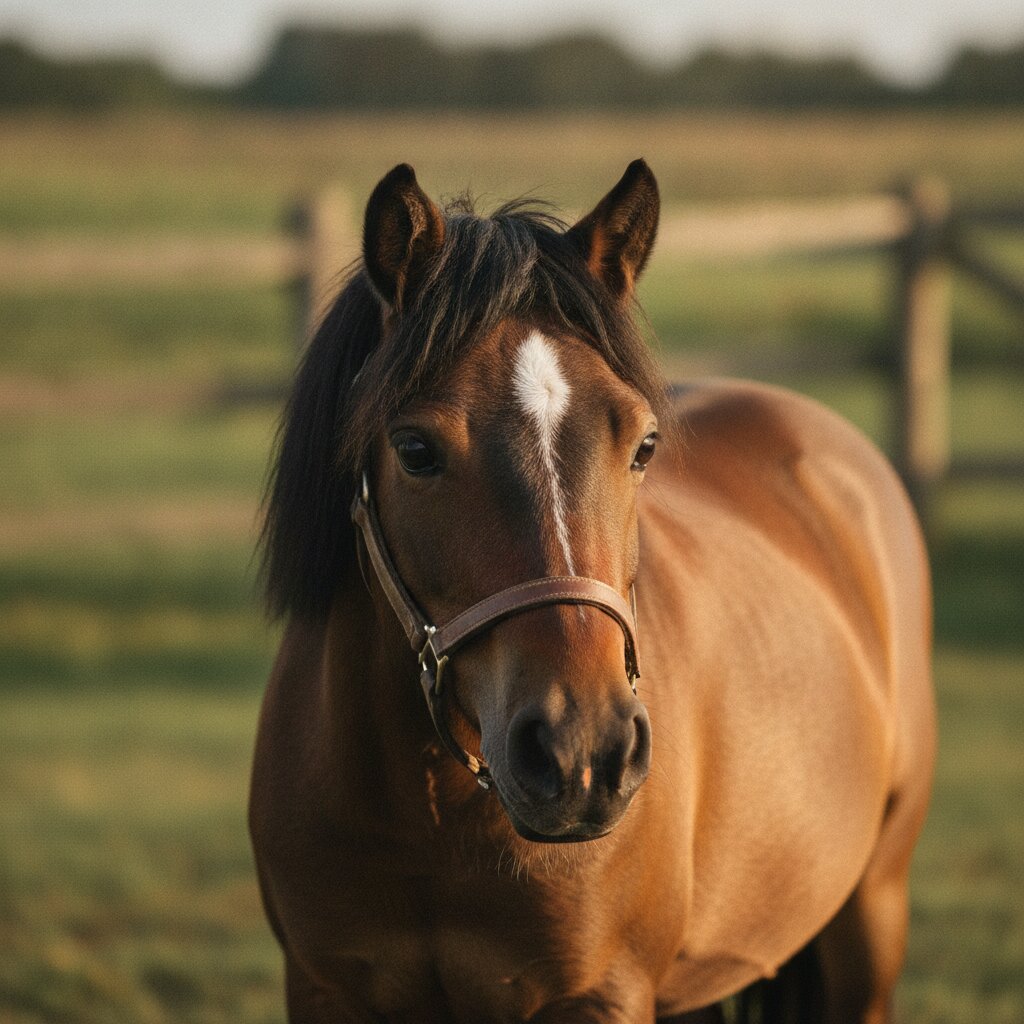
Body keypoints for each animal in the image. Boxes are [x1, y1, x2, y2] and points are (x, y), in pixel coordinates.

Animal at [250, 159, 936, 1023]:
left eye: (643, 445)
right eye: (414, 450)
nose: (582, 753)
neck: (430, 819)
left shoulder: (600, 995)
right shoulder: (322, 988)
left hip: (872, 914)